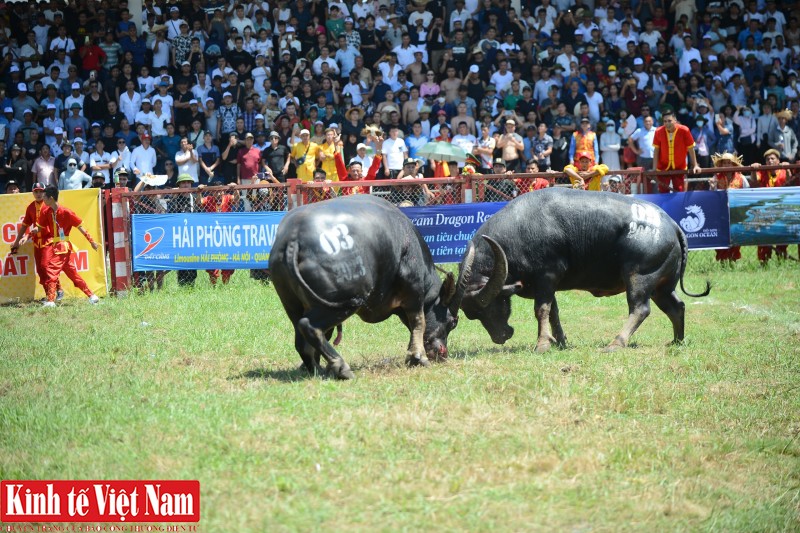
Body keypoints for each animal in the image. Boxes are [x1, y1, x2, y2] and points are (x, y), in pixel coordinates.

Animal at [268, 194, 472, 378]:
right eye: (453, 322)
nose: (442, 353)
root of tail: (293, 240)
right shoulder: (414, 291)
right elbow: (419, 321)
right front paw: (417, 357)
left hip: (293, 304)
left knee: (302, 339)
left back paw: (316, 369)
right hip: (344, 302)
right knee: (308, 326)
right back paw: (341, 367)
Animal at [456, 187, 712, 354]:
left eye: (493, 304)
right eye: (474, 314)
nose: (501, 337)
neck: (517, 234)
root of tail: (672, 224)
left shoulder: (546, 277)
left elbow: (541, 310)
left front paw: (542, 344)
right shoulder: (546, 285)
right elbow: (554, 312)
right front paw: (560, 341)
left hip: (640, 277)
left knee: (640, 309)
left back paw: (616, 343)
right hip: (662, 286)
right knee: (676, 307)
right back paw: (676, 341)